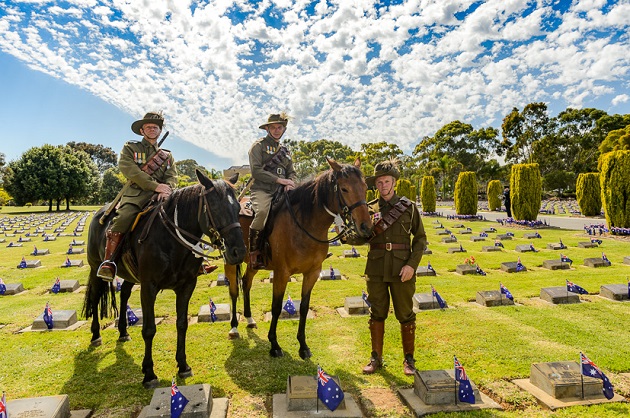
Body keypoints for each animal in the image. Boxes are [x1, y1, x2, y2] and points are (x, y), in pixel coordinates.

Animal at [85, 170, 248, 388]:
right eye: (214, 207)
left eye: (238, 207)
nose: (239, 252)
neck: (171, 239)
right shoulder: (149, 287)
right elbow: (149, 329)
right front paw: (149, 373)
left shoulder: (187, 285)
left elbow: (182, 323)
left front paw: (183, 365)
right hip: (96, 267)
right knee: (95, 298)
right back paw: (96, 334)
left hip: (130, 275)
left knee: (124, 294)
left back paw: (123, 332)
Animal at [226, 158, 376, 358]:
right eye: (344, 189)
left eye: (365, 186)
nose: (366, 227)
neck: (304, 225)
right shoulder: (281, 273)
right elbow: (276, 306)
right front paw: (274, 344)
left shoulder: (312, 272)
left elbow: (304, 307)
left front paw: (303, 345)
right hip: (230, 262)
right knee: (234, 291)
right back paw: (234, 327)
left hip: (253, 263)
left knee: (246, 282)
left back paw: (249, 318)